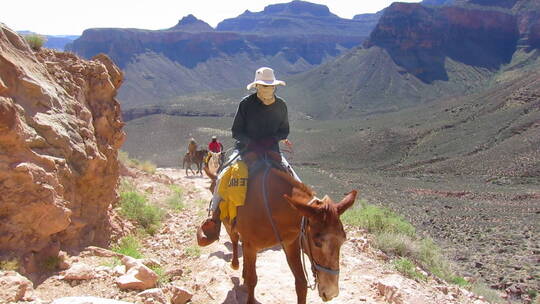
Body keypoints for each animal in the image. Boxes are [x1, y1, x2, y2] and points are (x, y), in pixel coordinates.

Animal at [200, 152, 356, 304]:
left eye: (343, 240)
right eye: (317, 243)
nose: (331, 292)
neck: (270, 205)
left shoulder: (291, 244)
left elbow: (301, 283)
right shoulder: (251, 246)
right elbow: (252, 280)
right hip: (229, 224)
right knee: (234, 239)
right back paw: (235, 264)